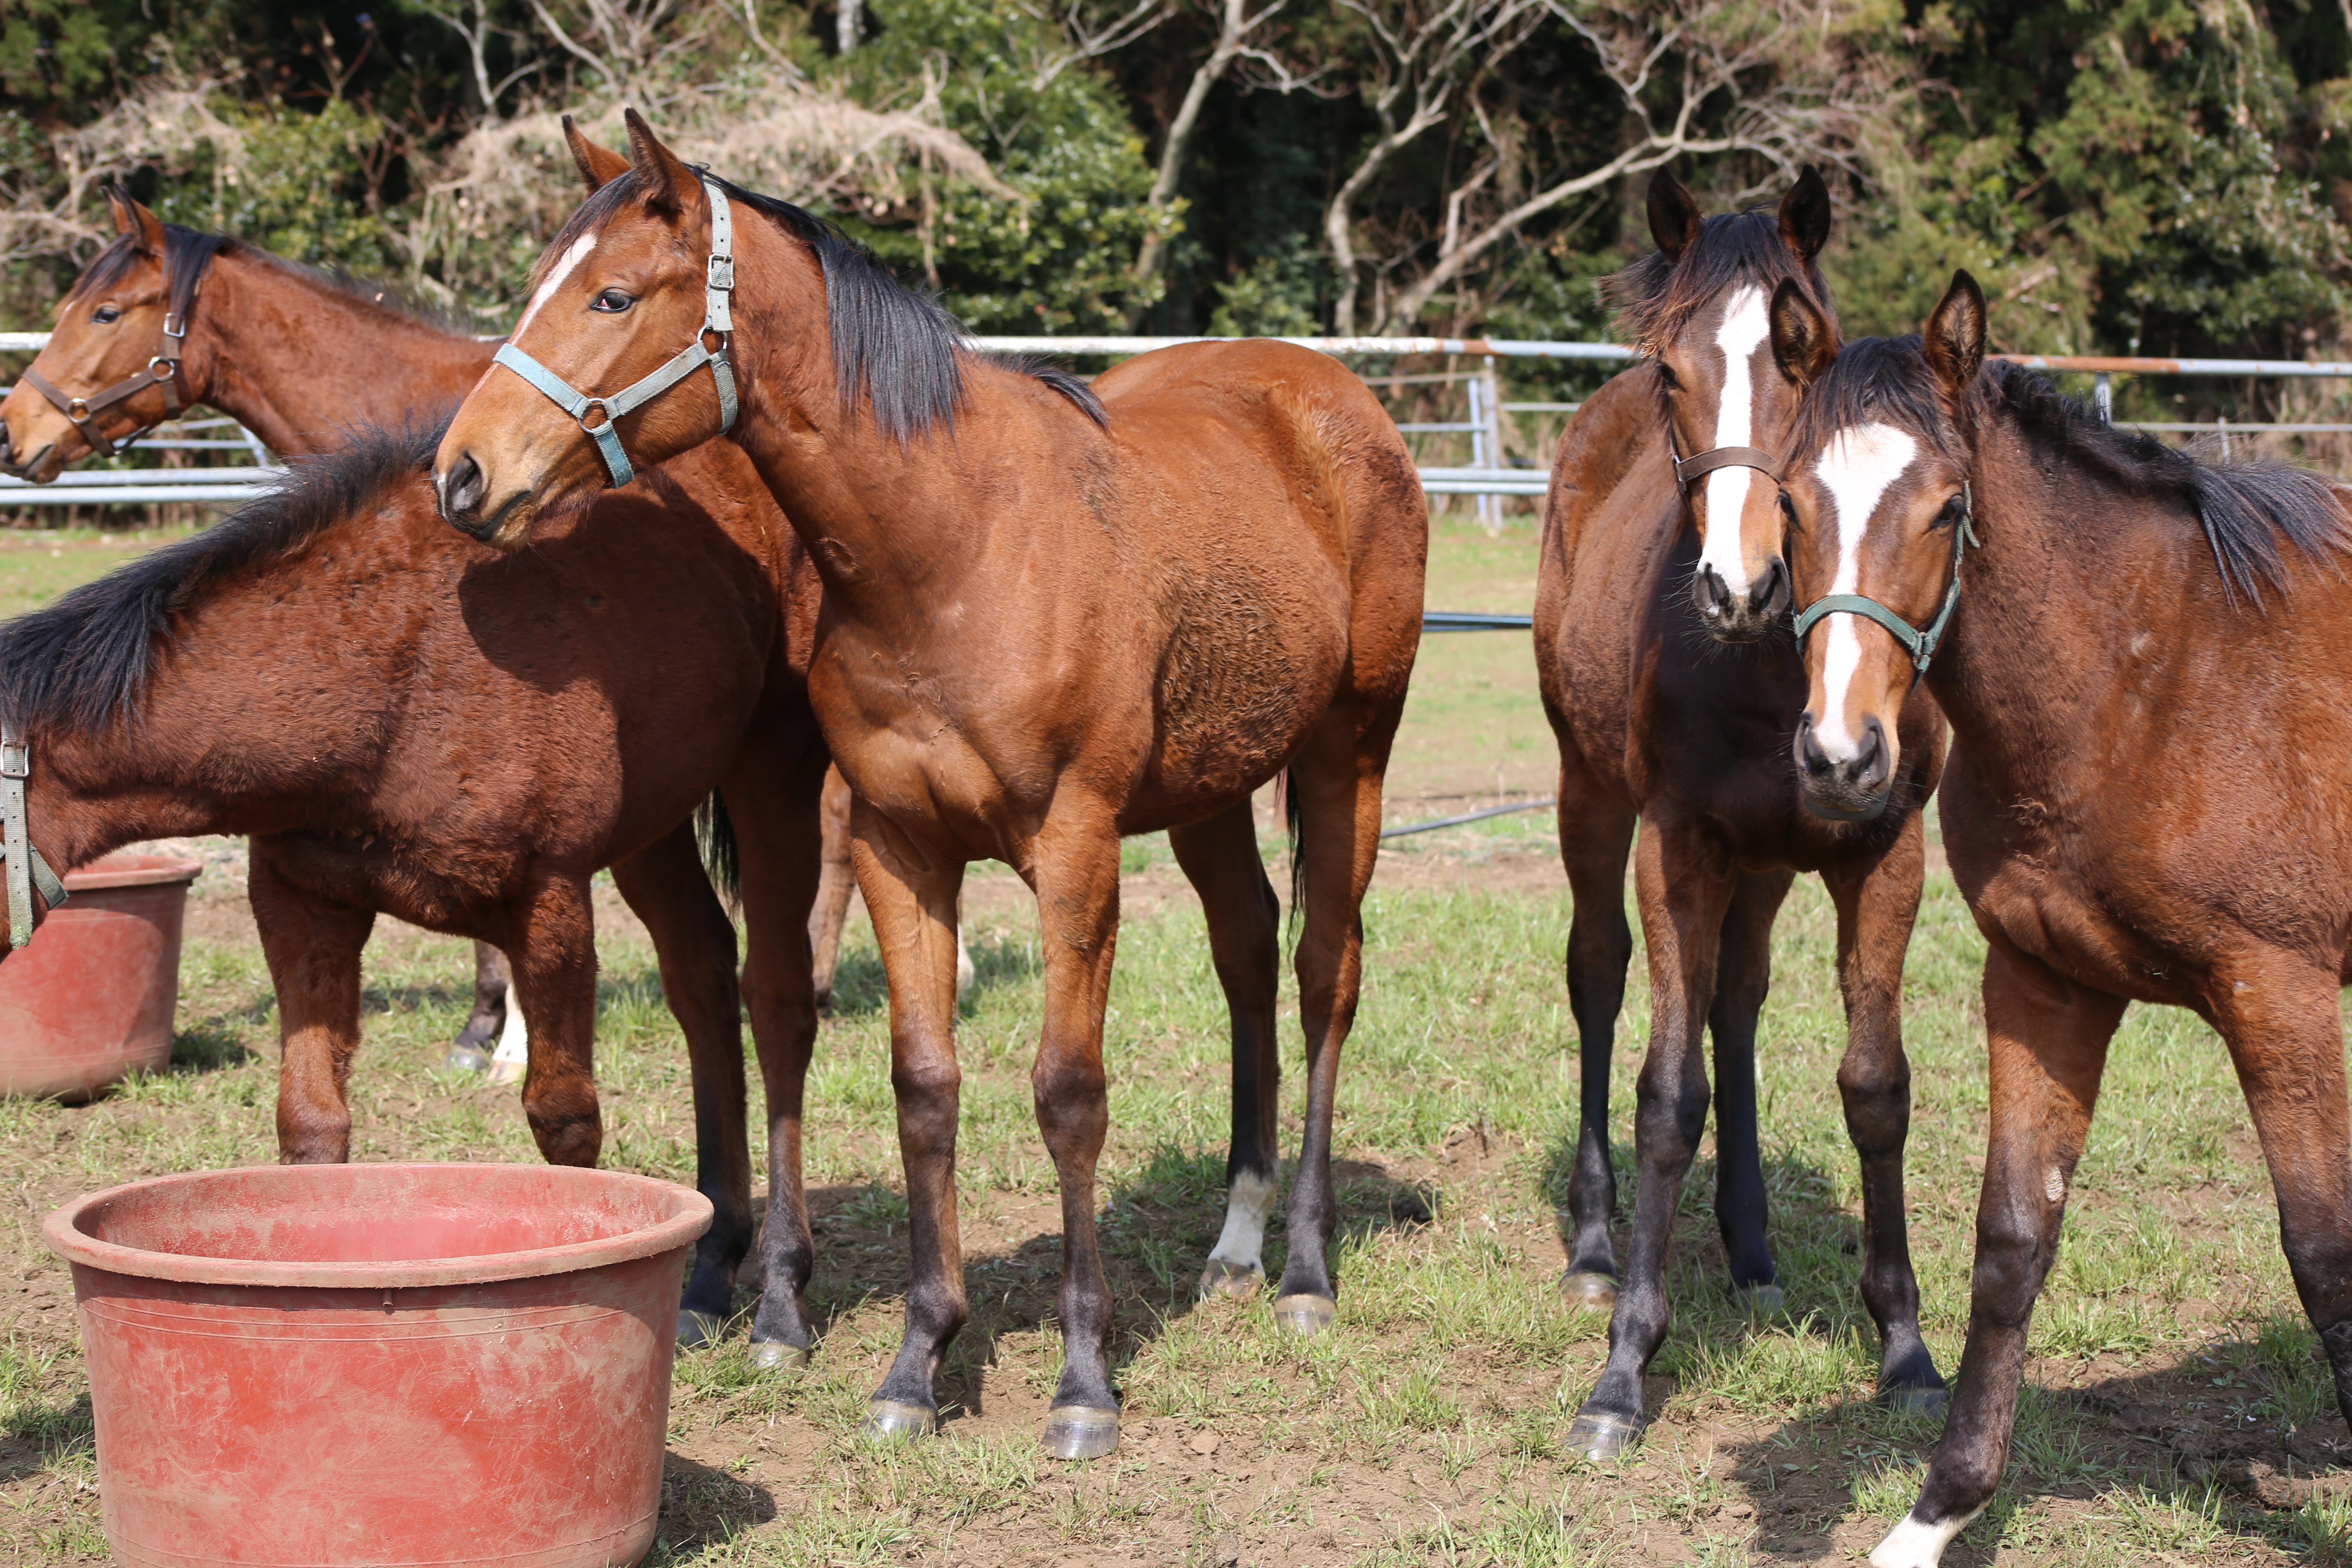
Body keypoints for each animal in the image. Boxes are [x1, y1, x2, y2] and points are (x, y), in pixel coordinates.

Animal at [425, 107, 1421, 1457]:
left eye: (612, 295)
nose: (460, 475)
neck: (954, 549)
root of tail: (1334, 397)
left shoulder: (1076, 847)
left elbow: (1067, 1094)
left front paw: (1084, 1384)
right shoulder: (902, 847)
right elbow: (925, 1089)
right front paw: (916, 1362)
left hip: (1347, 753)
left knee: (1327, 971)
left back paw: (1306, 1270)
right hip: (1212, 788)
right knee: (1249, 954)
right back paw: (1235, 1244)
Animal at [1533, 172, 1938, 1457]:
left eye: (1807, 361)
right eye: (1674, 372)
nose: (1738, 585)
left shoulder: (1884, 853)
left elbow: (1874, 1087)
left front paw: (1905, 1348)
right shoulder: (1676, 847)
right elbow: (1668, 1093)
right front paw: (1622, 1371)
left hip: (1763, 864)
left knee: (1738, 1003)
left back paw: (1752, 1248)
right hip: (1588, 794)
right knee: (1601, 973)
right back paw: (1597, 1245)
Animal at [1768, 270, 2352, 1568]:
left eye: (1945, 510)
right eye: (1785, 502)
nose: (1837, 758)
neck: (2149, 687)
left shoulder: (2279, 996)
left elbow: (2322, 1254)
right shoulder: (2042, 981)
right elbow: (2010, 1242)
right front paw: (1933, 1513)